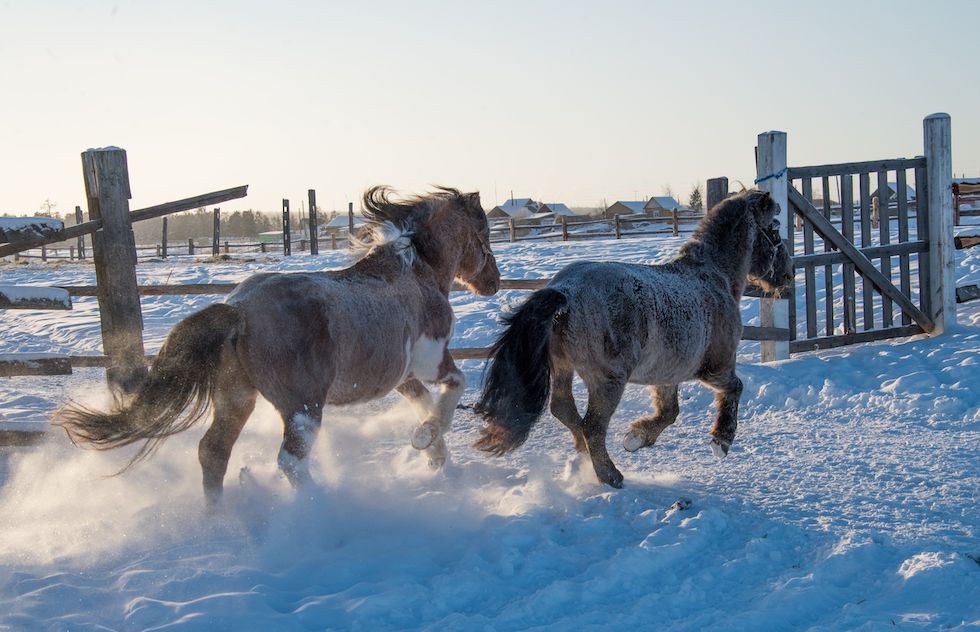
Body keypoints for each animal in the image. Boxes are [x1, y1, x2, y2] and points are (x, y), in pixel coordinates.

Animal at [58, 186, 500, 506]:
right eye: (483, 233)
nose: (493, 282)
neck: (414, 271)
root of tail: (237, 309)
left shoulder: (403, 377)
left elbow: (426, 405)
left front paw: (436, 457)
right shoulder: (430, 359)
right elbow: (454, 388)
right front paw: (426, 442)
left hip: (236, 397)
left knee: (213, 452)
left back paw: (219, 518)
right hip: (303, 407)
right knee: (290, 462)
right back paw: (322, 509)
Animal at [473, 189, 792, 488]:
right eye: (775, 230)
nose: (788, 276)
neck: (715, 277)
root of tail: (564, 291)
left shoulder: (666, 374)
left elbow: (669, 412)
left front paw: (637, 438)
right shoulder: (715, 368)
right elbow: (735, 389)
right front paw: (721, 441)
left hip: (564, 366)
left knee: (564, 409)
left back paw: (584, 456)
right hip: (608, 380)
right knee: (592, 426)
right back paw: (609, 474)